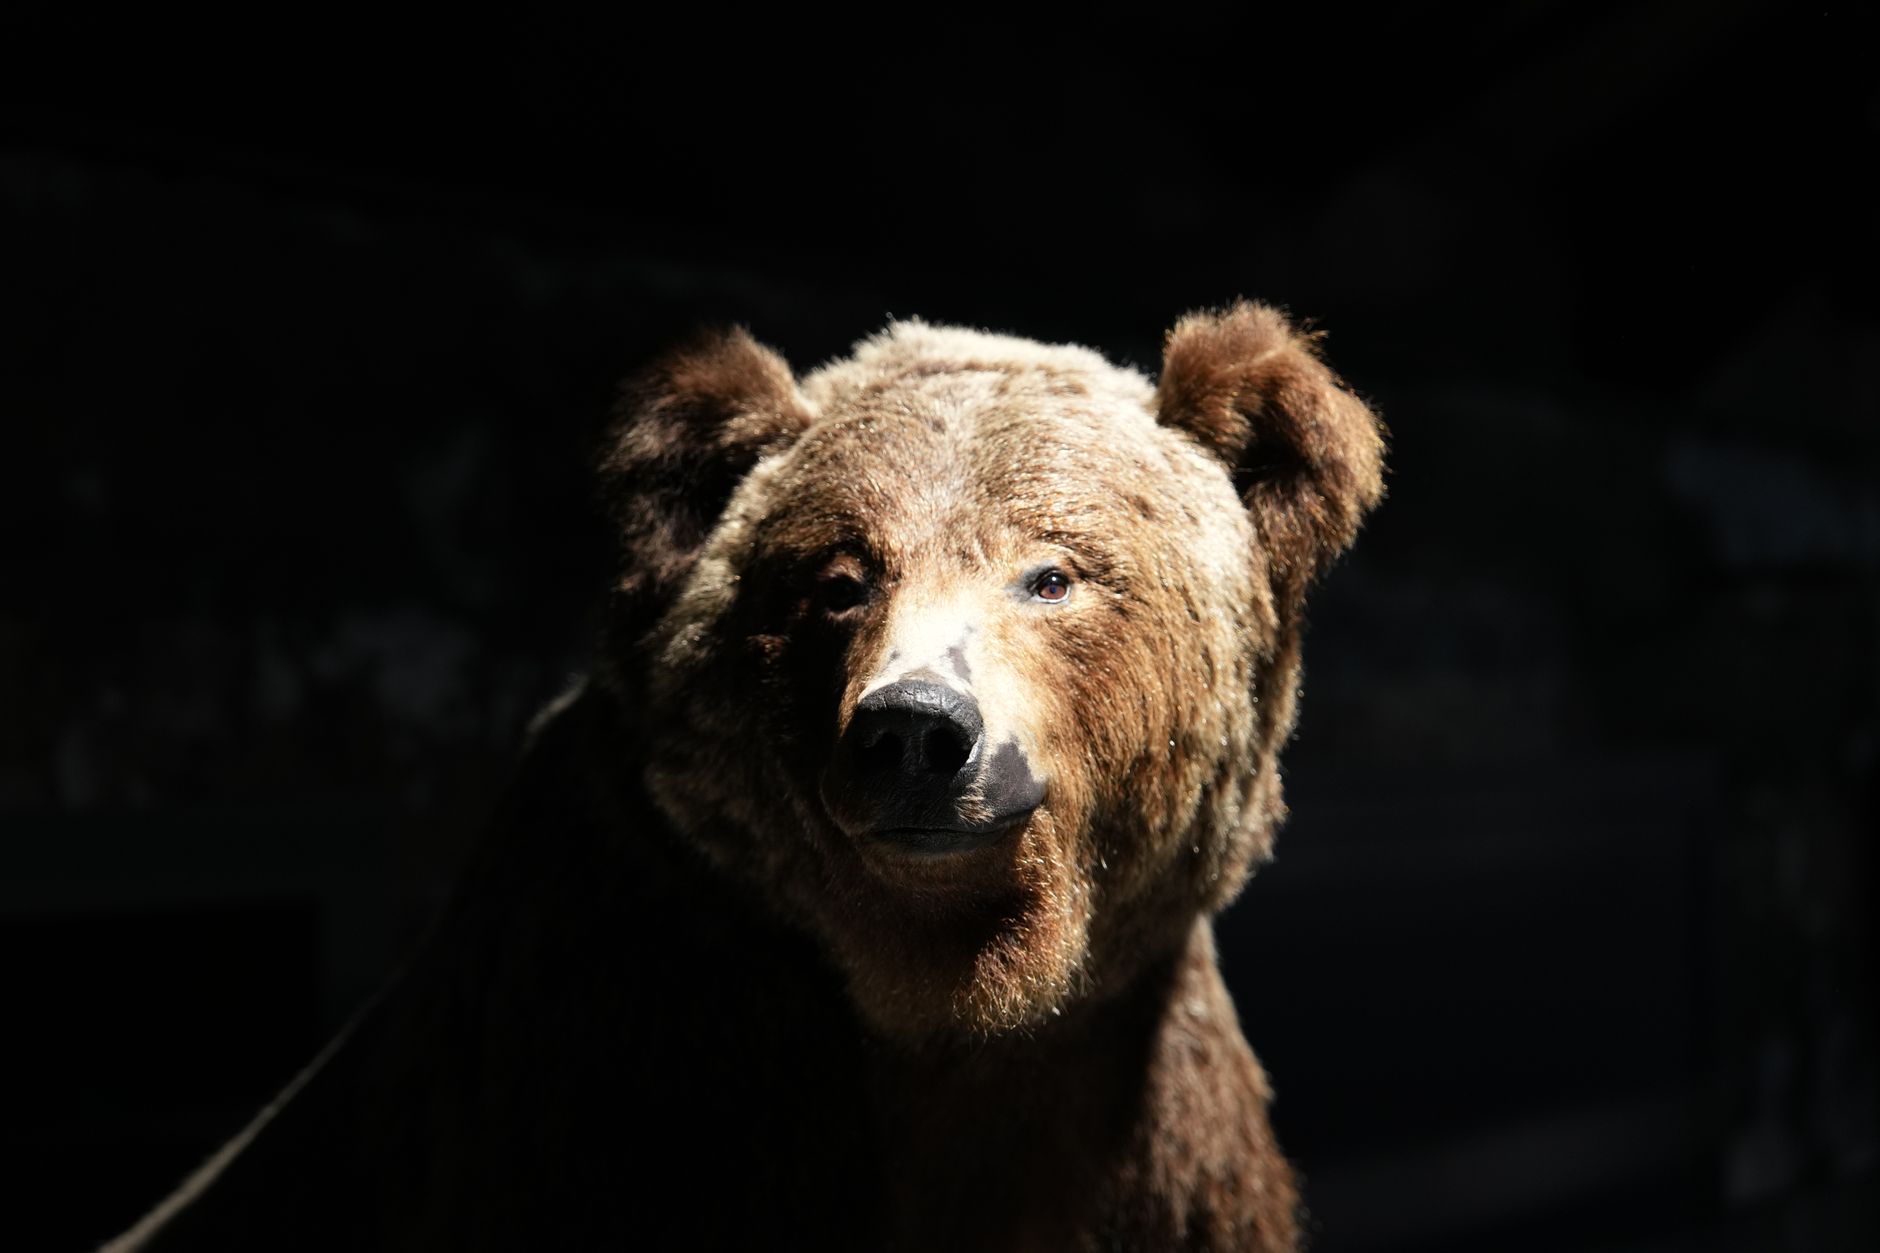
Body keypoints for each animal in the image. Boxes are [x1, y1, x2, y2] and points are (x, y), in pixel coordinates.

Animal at [103, 302, 1384, 1253]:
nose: (916, 729)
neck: (940, 1003)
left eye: (1051, 572)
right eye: (839, 579)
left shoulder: (1147, 1125)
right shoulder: (644, 1056)